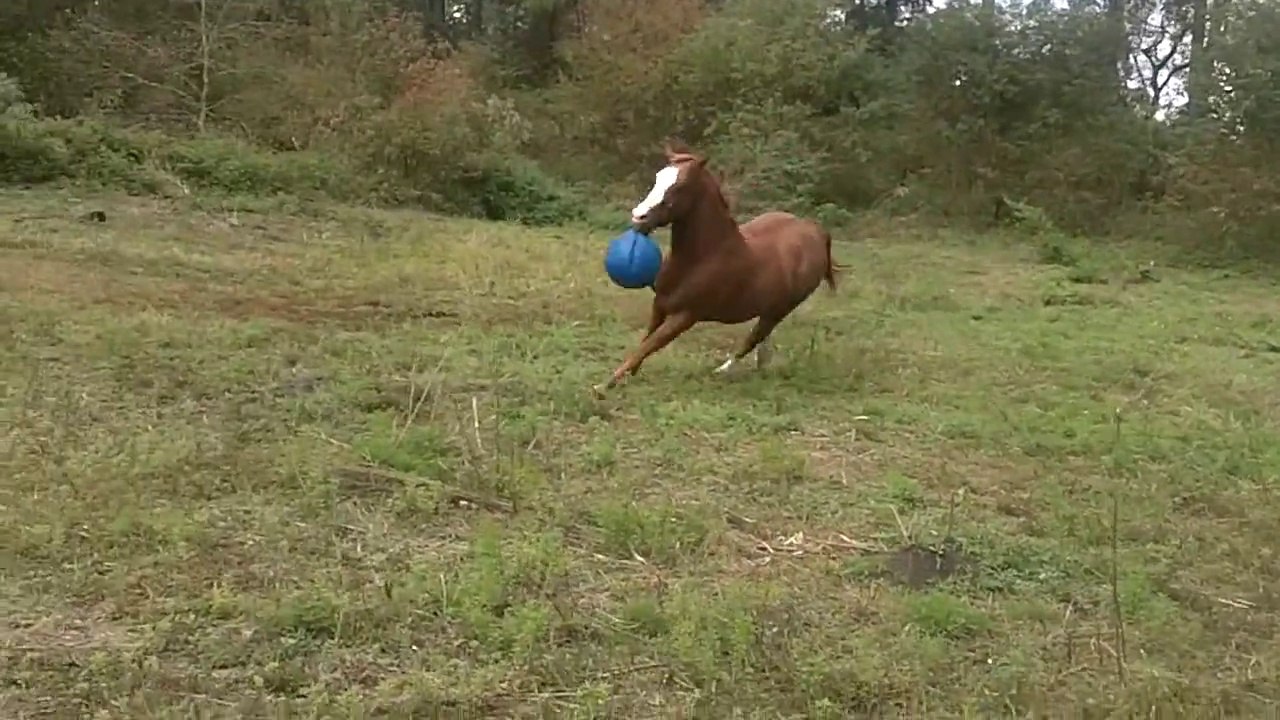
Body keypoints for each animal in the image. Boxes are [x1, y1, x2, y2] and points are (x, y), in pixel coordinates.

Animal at [592, 141, 846, 397]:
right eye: (657, 177)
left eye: (680, 186)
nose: (639, 217)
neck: (703, 257)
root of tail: (816, 231)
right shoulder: (660, 304)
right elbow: (645, 340)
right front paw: (629, 376)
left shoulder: (686, 316)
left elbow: (648, 346)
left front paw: (603, 386)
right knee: (762, 339)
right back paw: (761, 364)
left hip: (780, 309)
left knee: (753, 338)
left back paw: (723, 370)